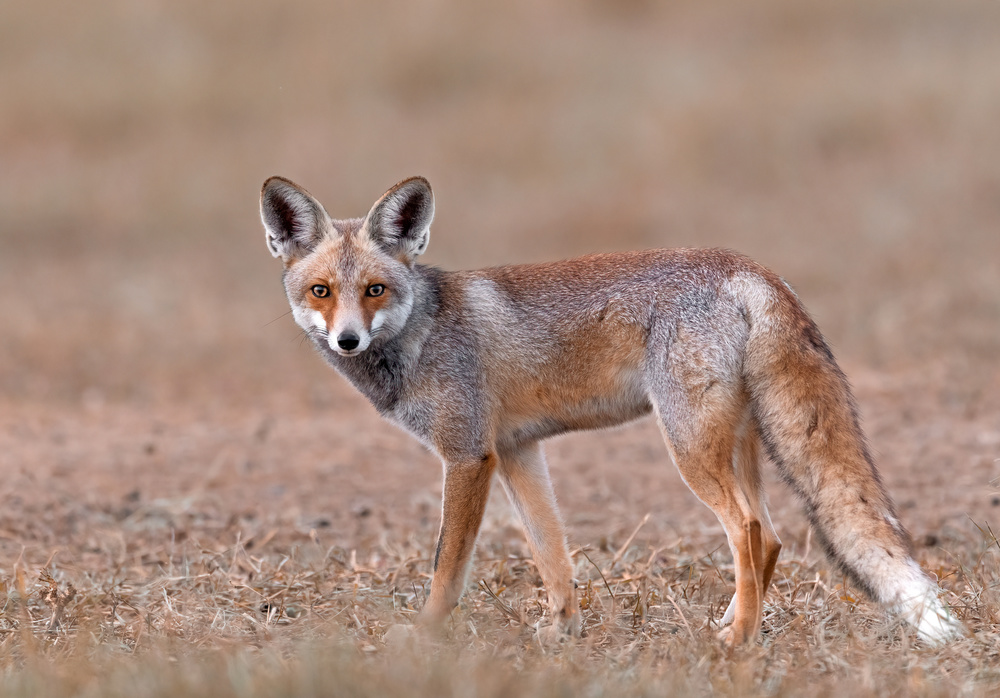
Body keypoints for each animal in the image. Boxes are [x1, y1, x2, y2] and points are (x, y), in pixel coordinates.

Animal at [258, 177, 960, 644]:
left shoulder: (468, 454)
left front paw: (426, 637)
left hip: (689, 448)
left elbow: (446, 568)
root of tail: (748, 267)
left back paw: (738, 643)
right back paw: (735, 620)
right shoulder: (517, 451)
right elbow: (552, 554)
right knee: (773, 535)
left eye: (375, 289)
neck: (423, 333)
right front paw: (562, 634)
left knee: (749, 530)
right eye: (321, 291)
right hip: (732, 444)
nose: (348, 340)